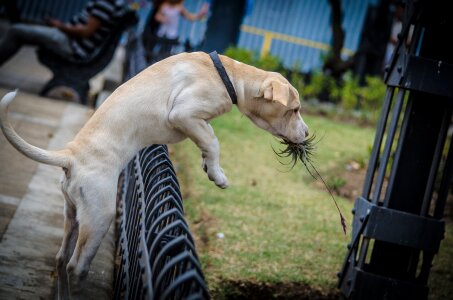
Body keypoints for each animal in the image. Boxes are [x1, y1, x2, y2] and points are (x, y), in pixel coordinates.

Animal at [0, 51, 308, 296]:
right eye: (294, 110)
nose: (306, 134)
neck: (228, 76)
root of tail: (71, 155)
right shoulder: (184, 113)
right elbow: (212, 140)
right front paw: (217, 175)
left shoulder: (194, 121)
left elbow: (207, 138)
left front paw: (208, 166)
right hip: (99, 215)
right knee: (76, 266)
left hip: (73, 214)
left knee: (61, 260)